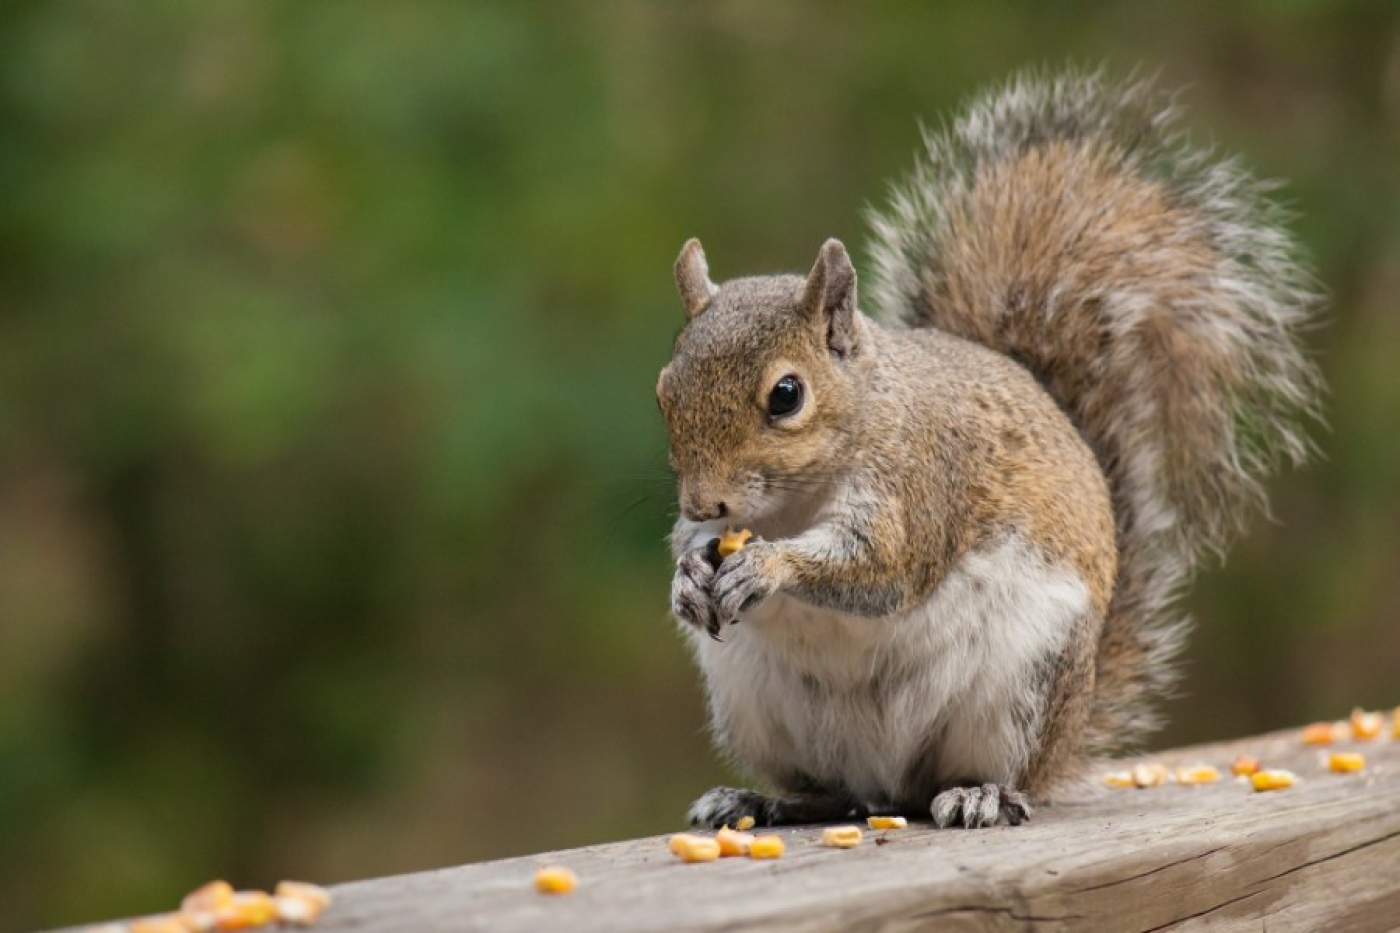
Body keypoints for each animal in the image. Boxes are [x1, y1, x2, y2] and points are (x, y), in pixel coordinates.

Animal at [656, 69, 1323, 829]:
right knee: (831, 791)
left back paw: (981, 793)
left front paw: (767, 566)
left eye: (787, 395)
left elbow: (881, 568)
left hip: (1024, 686)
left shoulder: (921, 484)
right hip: (755, 703)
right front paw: (687, 574)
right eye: (665, 388)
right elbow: (701, 550)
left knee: (986, 775)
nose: (701, 501)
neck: (797, 499)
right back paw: (760, 799)